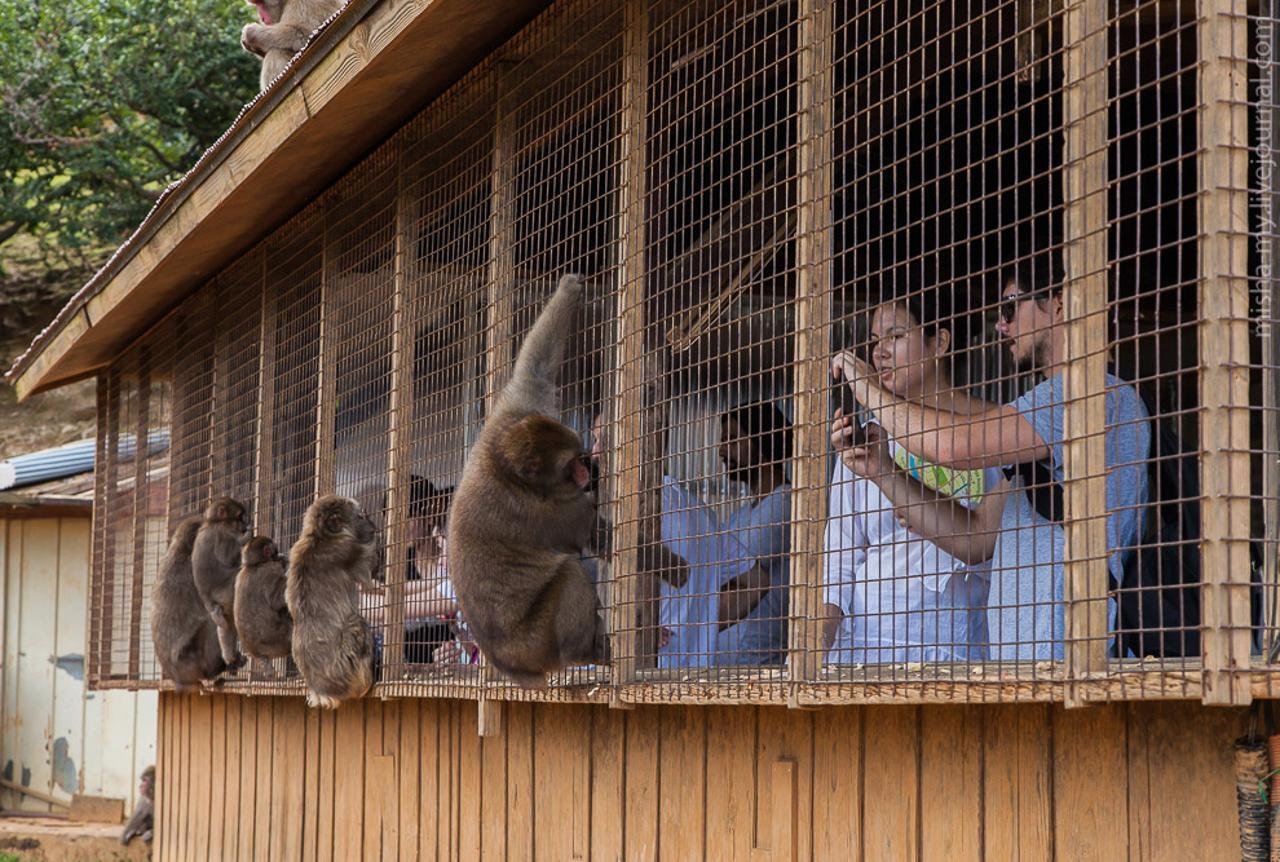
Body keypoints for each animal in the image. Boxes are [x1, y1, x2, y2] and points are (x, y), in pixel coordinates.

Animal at [150, 514, 226, 691]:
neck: (181, 549)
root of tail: (176, 678)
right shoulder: (196, 568)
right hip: (191, 663)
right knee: (210, 619)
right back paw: (216, 668)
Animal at [189, 494, 249, 671]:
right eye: (240, 517)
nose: (245, 525)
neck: (213, 523)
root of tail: (208, 600)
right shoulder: (223, 536)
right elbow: (228, 558)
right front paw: (245, 539)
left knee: (227, 626)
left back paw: (231, 657)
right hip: (225, 590)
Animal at [291, 494, 381, 707]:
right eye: (360, 516)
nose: (370, 524)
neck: (318, 537)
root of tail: (322, 689)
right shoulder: (348, 549)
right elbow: (370, 569)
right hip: (346, 669)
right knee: (357, 623)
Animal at [450, 275, 609, 686]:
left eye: (577, 455)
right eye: (570, 465)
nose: (585, 469)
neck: (504, 469)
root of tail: (508, 665)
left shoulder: (510, 416)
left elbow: (535, 368)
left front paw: (569, 290)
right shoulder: (538, 513)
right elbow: (581, 529)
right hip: (537, 645)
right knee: (568, 572)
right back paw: (582, 651)